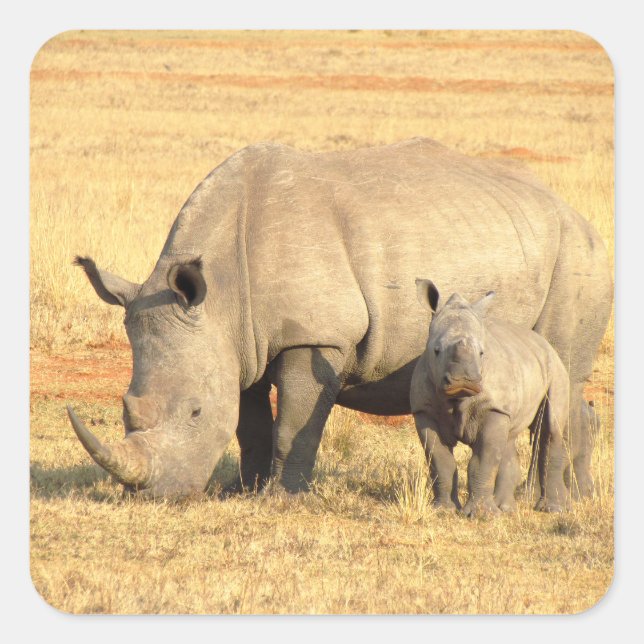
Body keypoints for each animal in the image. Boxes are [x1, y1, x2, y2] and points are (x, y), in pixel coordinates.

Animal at [410, 280, 571, 516]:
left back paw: (552, 509)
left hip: (556, 368)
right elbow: (440, 461)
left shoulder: (493, 407)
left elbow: (483, 460)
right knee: (508, 440)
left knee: (551, 428)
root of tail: (543, 342)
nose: (463, 380)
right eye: (436, 351)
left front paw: (481, 515)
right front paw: (442, 511)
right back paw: (506, 509)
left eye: (482, 353)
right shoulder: (424, 410)